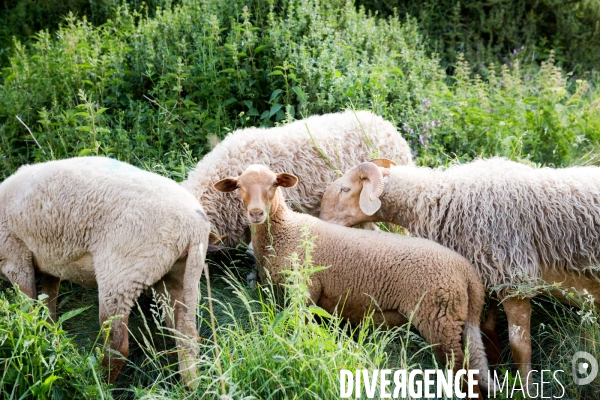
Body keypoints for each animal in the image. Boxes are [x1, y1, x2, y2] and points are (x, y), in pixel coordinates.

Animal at [0, 155, 211, 384]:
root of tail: (194, 226)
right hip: (180, 275)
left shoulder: (14, 257)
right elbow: (48, 300)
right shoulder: (52, 262)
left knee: (117, 346)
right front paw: (50, 333)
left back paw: (97, 382)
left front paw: (34, 333)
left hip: (120, 276)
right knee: (187, 336)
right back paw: (190, 384)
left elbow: (28, 307)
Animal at [216, 164, 492, 396]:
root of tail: (468, 272)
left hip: (440, 320)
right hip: (454, 319)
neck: (287, 230)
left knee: (463, 372)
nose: (256, 213)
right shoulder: (276, 293)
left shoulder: (305, 294)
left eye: (274, 184)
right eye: (239, 186)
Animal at [322, 157, 600, 384]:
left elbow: (520, 347)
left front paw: (525, 389)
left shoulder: (514, 279)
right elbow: (487, 330)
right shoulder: (489, 276)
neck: (439, 199)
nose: (322, 221)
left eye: (345, 189)